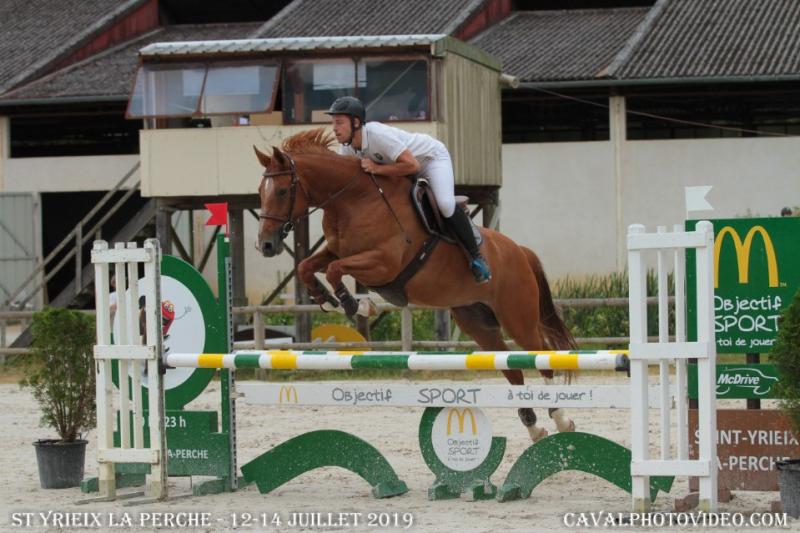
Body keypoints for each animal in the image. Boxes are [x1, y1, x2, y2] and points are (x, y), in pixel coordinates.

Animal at [255, 128, 577, 441]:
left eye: (282, 191)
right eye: (260, 192)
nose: (266, 245)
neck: (352, 200)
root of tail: (519, 251)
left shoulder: (383, 262)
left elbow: (335, 270)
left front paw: (358, 304)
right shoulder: (336, 250)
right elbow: (306, 267)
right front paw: (328, 299)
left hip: (517, 317)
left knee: (541, 356)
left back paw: (561, 417)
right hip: (478, 323)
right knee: (512, 368)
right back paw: (534, 427)